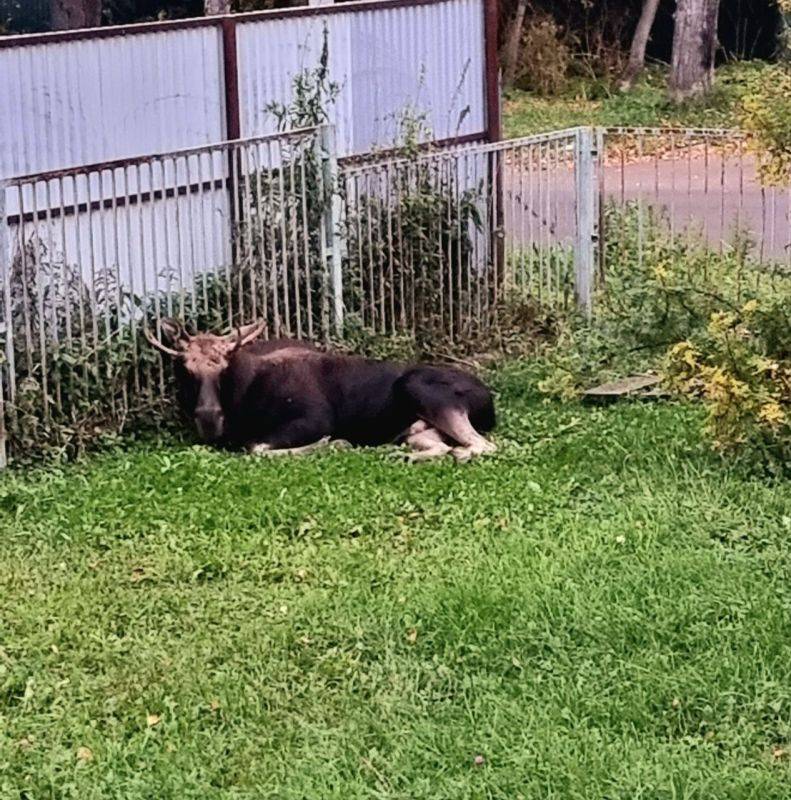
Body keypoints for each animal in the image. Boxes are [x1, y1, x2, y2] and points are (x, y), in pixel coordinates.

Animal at [145, 316, 498, 460]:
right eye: (184, 368)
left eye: (224, 366)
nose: (208, 417)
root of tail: (489, 401)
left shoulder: (314, 419)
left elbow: (256, 448)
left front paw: (334, 443)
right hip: (418, 430)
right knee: (441, 445)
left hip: (422, 389)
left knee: (484, 445)